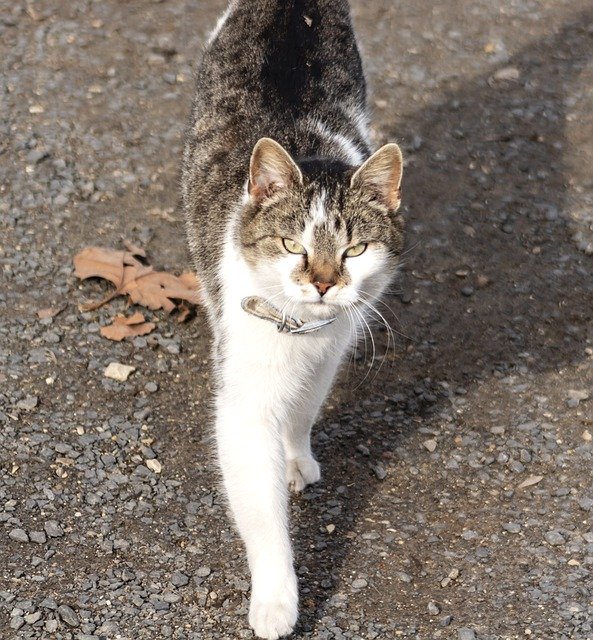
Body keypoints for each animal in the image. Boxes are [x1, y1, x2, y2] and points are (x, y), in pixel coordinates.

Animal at [180, 2, 402, 636]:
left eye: (355, 250)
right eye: (290, 244)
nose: (324, 282)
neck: (299, 333)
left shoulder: (332, 348)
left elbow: (304, 411)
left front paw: (298, 458)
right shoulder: (243, 402)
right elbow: (261, 509)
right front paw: (277, 600)